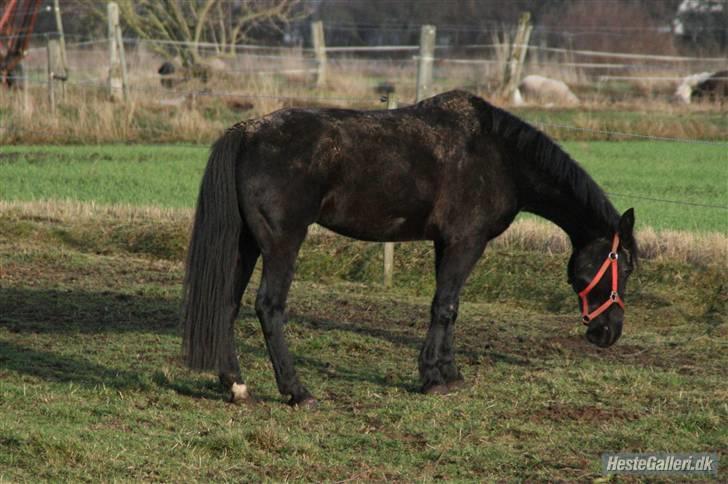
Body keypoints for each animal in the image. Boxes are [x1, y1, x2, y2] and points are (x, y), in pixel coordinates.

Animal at [182, 90, 636, 404]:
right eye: (625, 264)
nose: (607, 332)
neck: (499, 156)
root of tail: (247, 132)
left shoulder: (445, 244)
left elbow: (450, 307)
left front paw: (449, 373)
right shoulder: (466, 242)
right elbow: (444, 306)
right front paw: (433, 378)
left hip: (246, 244)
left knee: (226, 304)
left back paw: (237, 387)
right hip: (282, 243)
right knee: (269, 306)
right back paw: (298, 391)